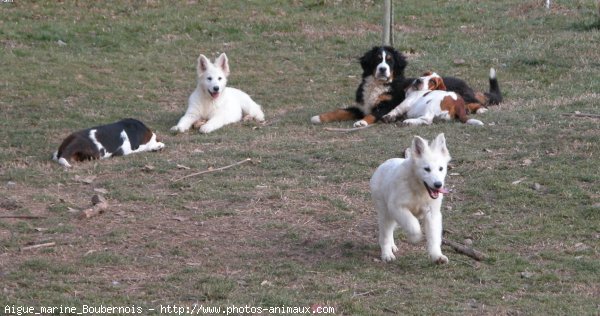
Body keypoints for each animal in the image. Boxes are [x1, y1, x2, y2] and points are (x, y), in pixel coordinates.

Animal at [370, 133, 450, 264]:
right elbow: (412, 224)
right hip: (385, 212)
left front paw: (437, 256)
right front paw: (415, 238)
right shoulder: (397, 207)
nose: (438, 185)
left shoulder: (432, 213)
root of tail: (385, 163)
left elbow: (434, 236)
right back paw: (387, 254)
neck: (418, 188)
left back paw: (392, 247)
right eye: (427, 169)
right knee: (385, 234)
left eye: (441, 169)